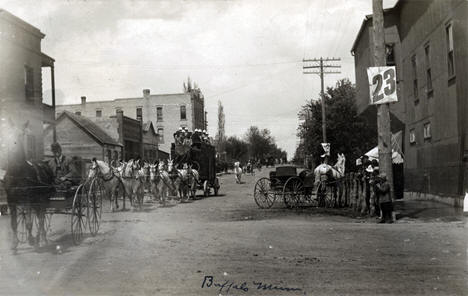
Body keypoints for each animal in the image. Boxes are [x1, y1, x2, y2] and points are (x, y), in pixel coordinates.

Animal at [2, 121, 55, 251]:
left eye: (21, 134)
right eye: (8, 133)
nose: (13, 147)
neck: (17, 172)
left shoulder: (27, 200)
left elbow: (29, 223)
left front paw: (31, 240)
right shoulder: (11, 200)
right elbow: (13, 223)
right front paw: (14, 244)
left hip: (43, 199)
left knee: (41, 218)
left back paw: (41, 239)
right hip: (36, 201)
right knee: (39, 216)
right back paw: (40, 238)